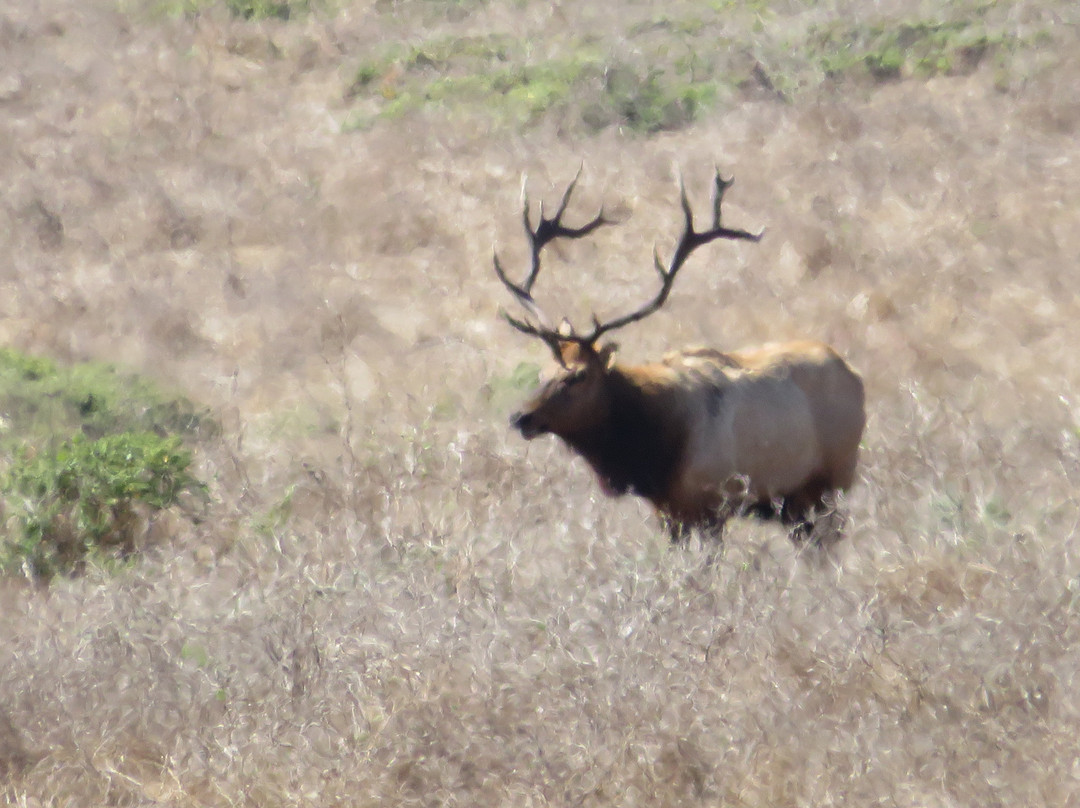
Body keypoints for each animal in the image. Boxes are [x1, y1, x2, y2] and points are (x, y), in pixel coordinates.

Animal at [493, 168, 866, 545]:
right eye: (543, 372)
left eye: (578, 375)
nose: (521, 417)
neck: (653, 453)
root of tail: (855, 375)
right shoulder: (668, 512)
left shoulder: (711, 506)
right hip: (794, 506)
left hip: (831, 484)